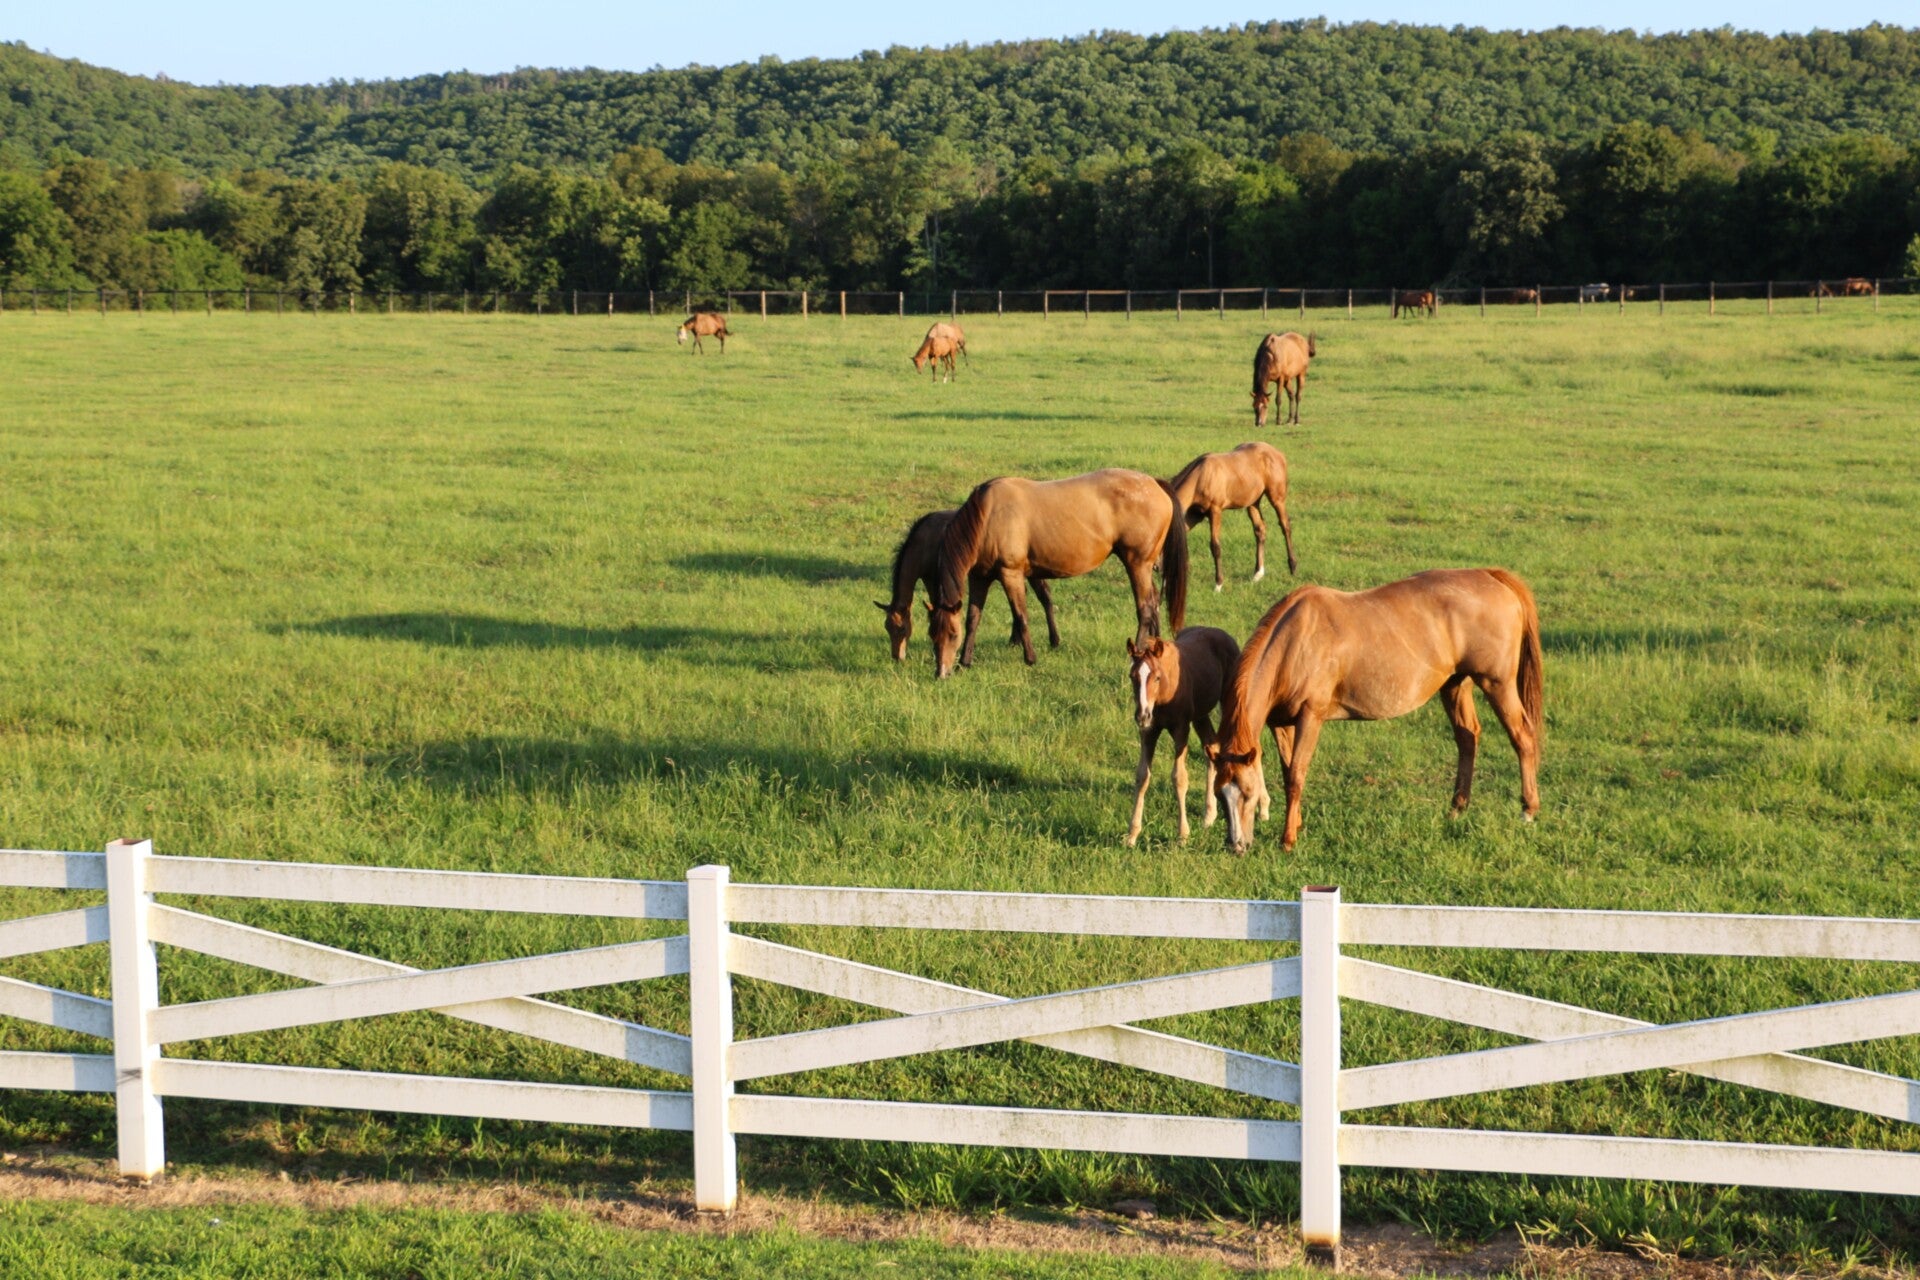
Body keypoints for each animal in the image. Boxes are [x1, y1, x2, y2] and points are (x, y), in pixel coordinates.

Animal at [877, 509, 1058, 661]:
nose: (896, 657)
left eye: (901, 629)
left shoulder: (935, 579)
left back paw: (1054, 640)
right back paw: (1015, 640)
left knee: (1044, 596)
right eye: (886, 627)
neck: (924, 542)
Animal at [930, 469, 1189, 679]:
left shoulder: (1010, 574)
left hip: (1137, 564)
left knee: (1145, 608)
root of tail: (1155, 484)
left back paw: (1138, 652)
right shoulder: (979, 577)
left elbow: (1021, 616)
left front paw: (1030, 658)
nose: (941, 673)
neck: (988, 515)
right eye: (932, 633)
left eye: (952, 634)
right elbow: (973, 618)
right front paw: (965, 662)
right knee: (1154, 603)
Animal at [1125, 627, 1260, 846]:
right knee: (1211, 746)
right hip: (1200, 715)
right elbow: (1142, 776)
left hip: (1227, 704)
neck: (1163, 696)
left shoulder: (1181, 730)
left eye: (1157, 677)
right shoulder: (1149, 732)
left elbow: (1179, 778)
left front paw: (1183, 835)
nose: (1142, 715)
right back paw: (1209, 815)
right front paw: (1132, 834)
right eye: (1132, 676)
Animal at [1165, 442, 1299, 591]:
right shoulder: (1195, 515)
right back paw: (1258, 574)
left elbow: (1215, 546)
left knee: (1285, 526)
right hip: (1253, 502)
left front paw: (1218, 584)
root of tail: (1278, 453)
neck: (1201, 475)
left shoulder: (1215, 511)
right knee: (1260, 530)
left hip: (1277, 499)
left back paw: (1293, 567)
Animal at [1207, 568, 1543, 853]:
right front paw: (1296, 825)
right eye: (1220, 794)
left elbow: (1296, 776)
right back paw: (1457, 809)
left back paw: (1528, 810)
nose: (1236, 846)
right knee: (1467, 738)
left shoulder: (1311, 717)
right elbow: (1289, 769)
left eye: (1248, 792)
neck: (1296, 639)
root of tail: (1490, 575)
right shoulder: (1282, 723)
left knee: (1523, 738)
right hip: (1454, 685)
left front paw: (1288, 840)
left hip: (1497, 684)